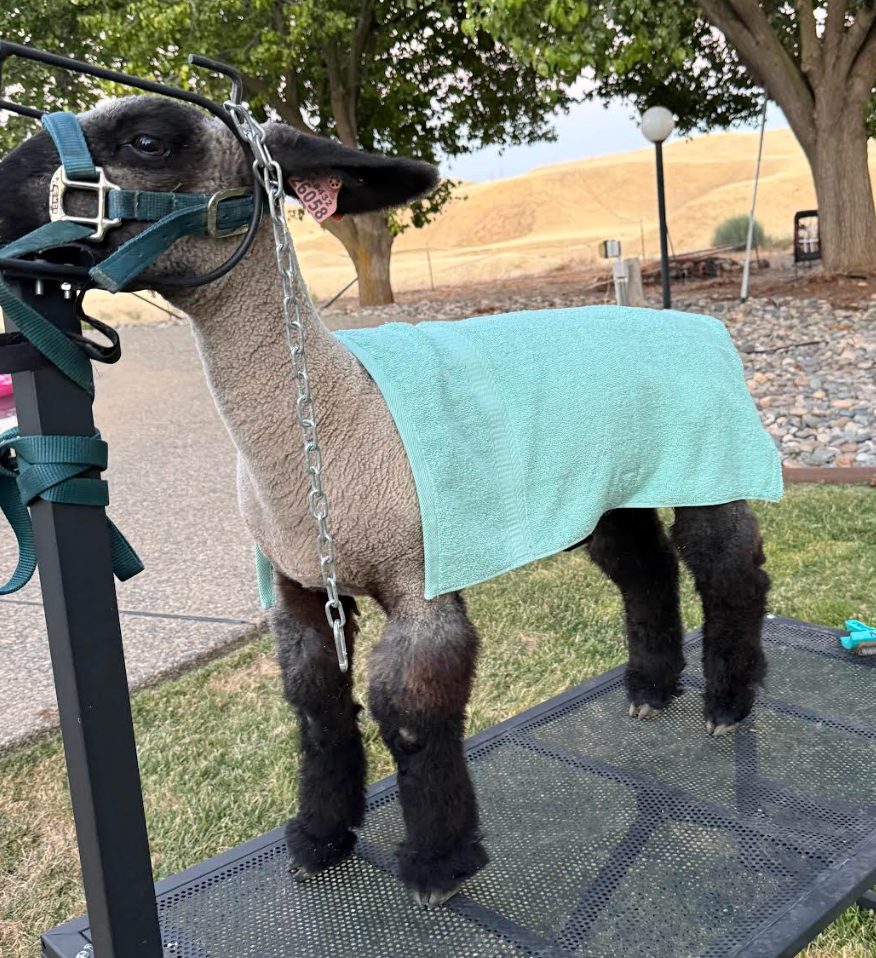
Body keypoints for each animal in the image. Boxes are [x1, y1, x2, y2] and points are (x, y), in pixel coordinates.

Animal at [0, 95, 772, 908]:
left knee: (729, 570)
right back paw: (651, 688)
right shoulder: (299, 587)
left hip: (710, 458)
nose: (0, 197)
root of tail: (697, 322)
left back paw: (729, 701)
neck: (335, 422)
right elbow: (316, 710)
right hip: (608, 485)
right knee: (644, 568)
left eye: (148, 140)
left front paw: (438, 862)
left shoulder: (416, 576)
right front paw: (318, 838)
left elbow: (410, 716)